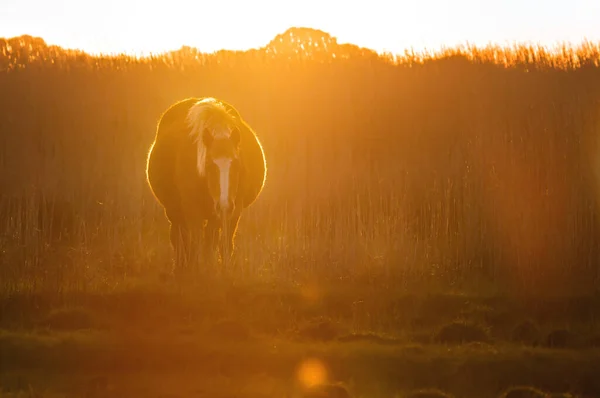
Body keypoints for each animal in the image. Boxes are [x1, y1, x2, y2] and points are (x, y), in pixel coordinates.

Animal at [145, 98, 268, 276]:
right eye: (209, 165)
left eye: (237, 165)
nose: (224, 204)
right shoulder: (192, 210)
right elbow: (194, 242)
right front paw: (196, 270)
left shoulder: (229, 213)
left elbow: (219, 244)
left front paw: (218, 270)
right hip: (175, 211)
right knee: (179, 238)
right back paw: (181, 266)